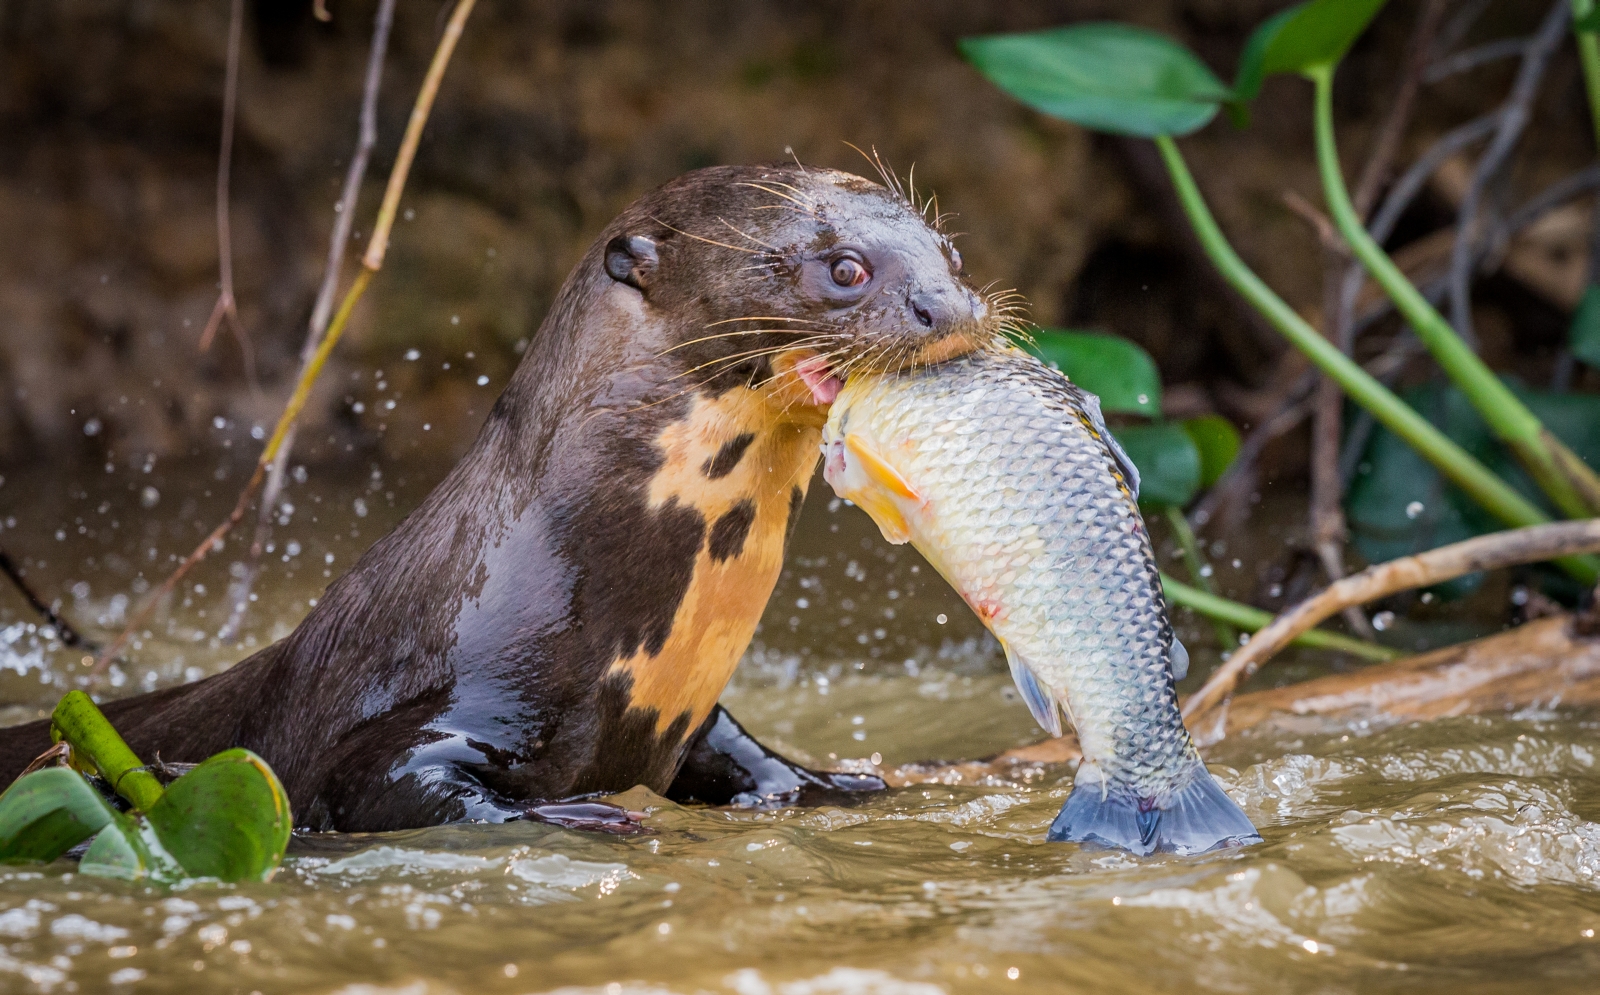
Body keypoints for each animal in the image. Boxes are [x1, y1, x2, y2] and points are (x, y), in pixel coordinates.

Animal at [0, 164, 996, 832]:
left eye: (950, 252)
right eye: (844, 267)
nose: (950, 307)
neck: (570, 583)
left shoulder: (686, 715)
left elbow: (742, 750)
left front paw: (828, 782)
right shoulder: (419, 714)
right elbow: (374, 781)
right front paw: (571, 815)